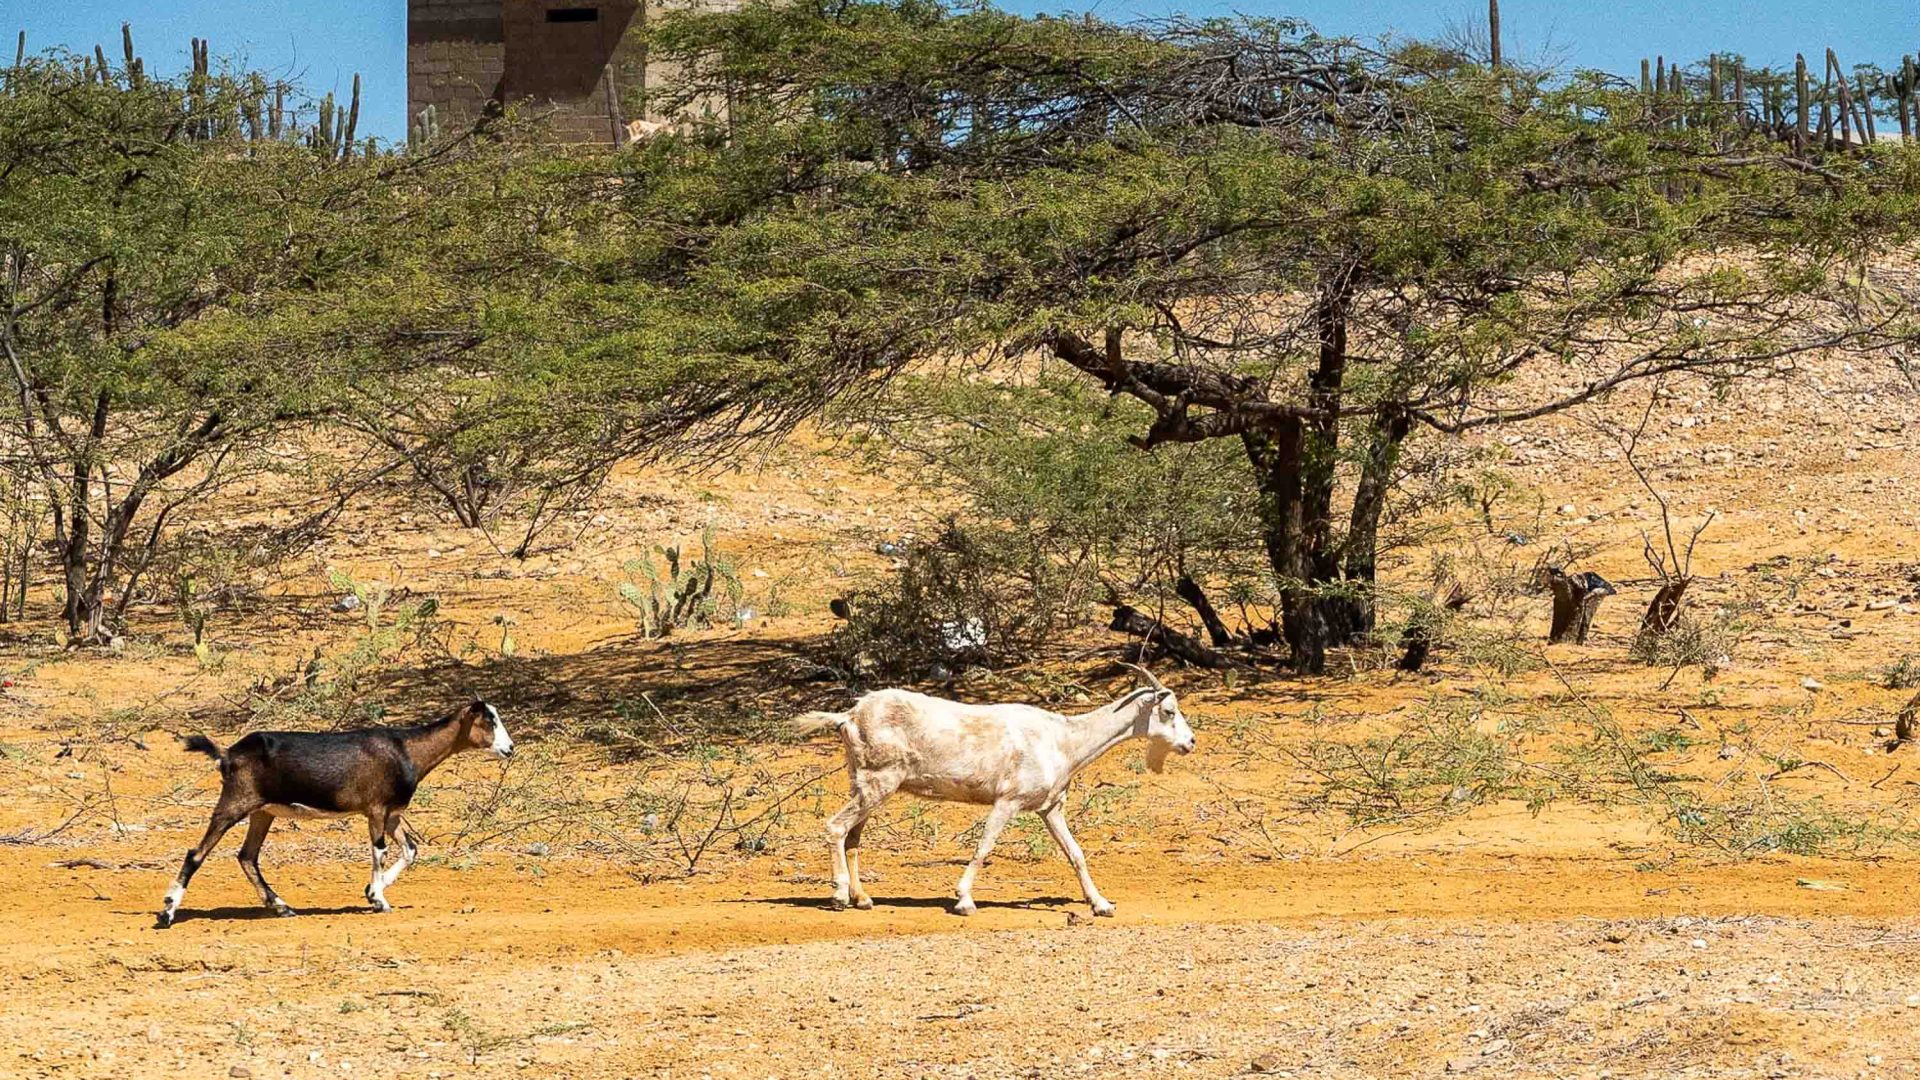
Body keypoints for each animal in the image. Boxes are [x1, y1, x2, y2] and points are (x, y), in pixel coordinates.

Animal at [791, 664, 1182, 907]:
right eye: (1168, 712)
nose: (1189, 743)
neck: (1064, 739)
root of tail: (848, 716)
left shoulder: (1050, 808)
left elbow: (1076, 853)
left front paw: (1100, 904)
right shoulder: (1008, 800)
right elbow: (983, 846)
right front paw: (964, 899)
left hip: (864, 784)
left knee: (853, 838)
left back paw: (863, 899)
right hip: (878, 782)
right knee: (836, 827)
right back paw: (840, 897)